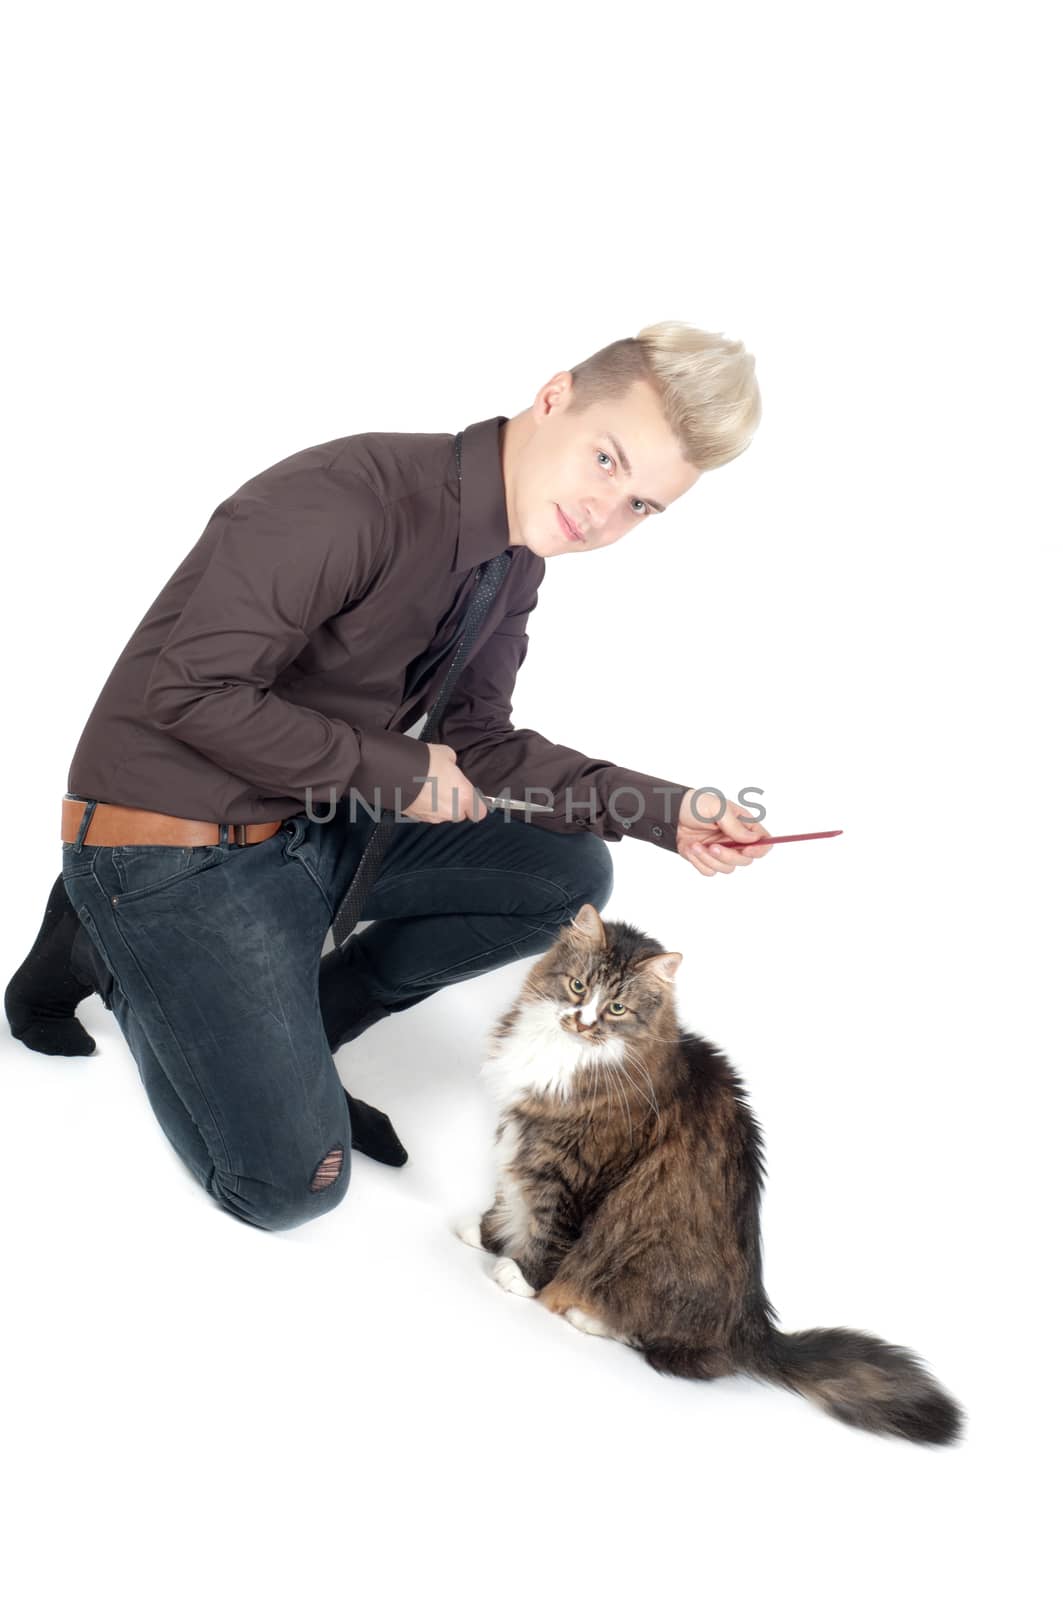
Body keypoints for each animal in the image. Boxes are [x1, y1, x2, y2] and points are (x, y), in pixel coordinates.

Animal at [451, 902, 966, 1452]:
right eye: (577, 986)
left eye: (617, 1008)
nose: (582, 1021)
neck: (570, 1054)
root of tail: (752, 1326)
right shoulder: (524, 1133)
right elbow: (508, 1195)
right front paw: (484, 1234)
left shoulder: (574, 1164)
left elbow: (550, 1226)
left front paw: (520, 1275)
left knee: (679, 1352)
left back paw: (587, 1315)